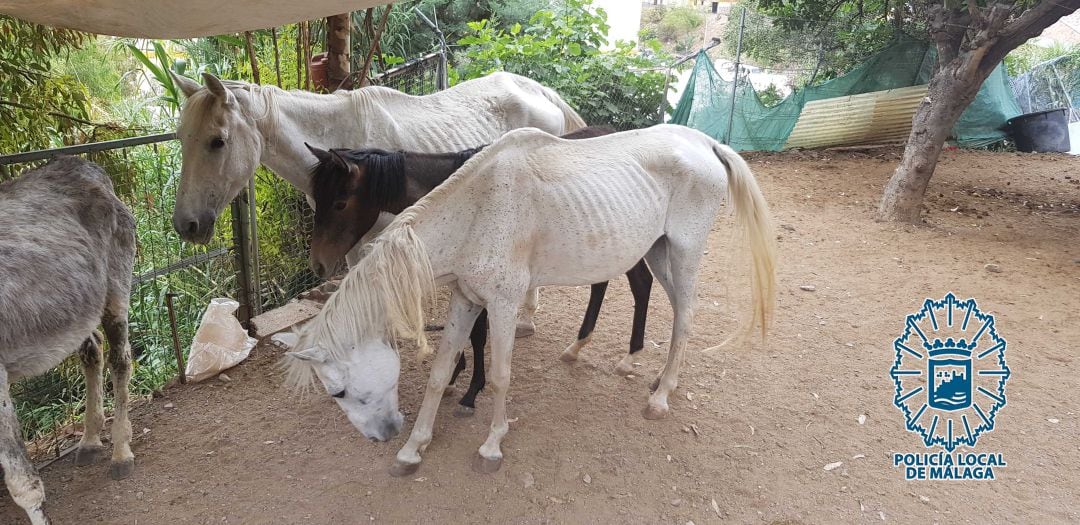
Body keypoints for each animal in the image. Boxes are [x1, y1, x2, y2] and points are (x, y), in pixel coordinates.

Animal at [171, 70, 587, 337]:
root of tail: (540, 90)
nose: (186, 225)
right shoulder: (346, 236)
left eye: (218, 141)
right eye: (180, 137)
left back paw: (525, 319)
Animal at [306, 126, 648, 414]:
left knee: (641, 283)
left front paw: (471, 390)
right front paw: (455, 375)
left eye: (339, 203)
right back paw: (578, 347)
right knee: (605, 283)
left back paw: (629, 356)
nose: (318, 263)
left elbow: (479, 335)